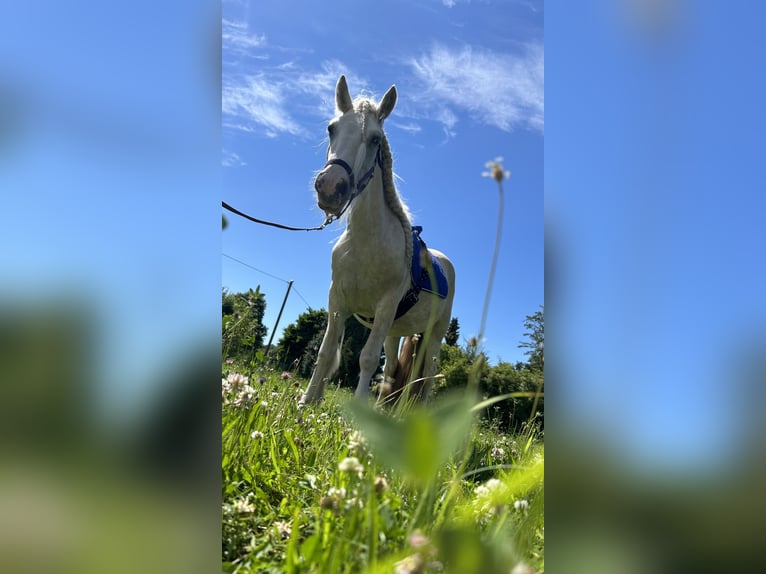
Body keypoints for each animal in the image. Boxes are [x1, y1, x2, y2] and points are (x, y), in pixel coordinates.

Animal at [300, 76, 456, 404]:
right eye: (331, 128)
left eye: (374, 139)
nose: (331, 186)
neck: (365, 245)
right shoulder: (338, 301)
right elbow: (326, 352)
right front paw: (307, 401)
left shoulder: (384, 308)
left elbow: (368, 359)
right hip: (396, 332)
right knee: (396, 372)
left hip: (433, 337)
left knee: (425, 377)